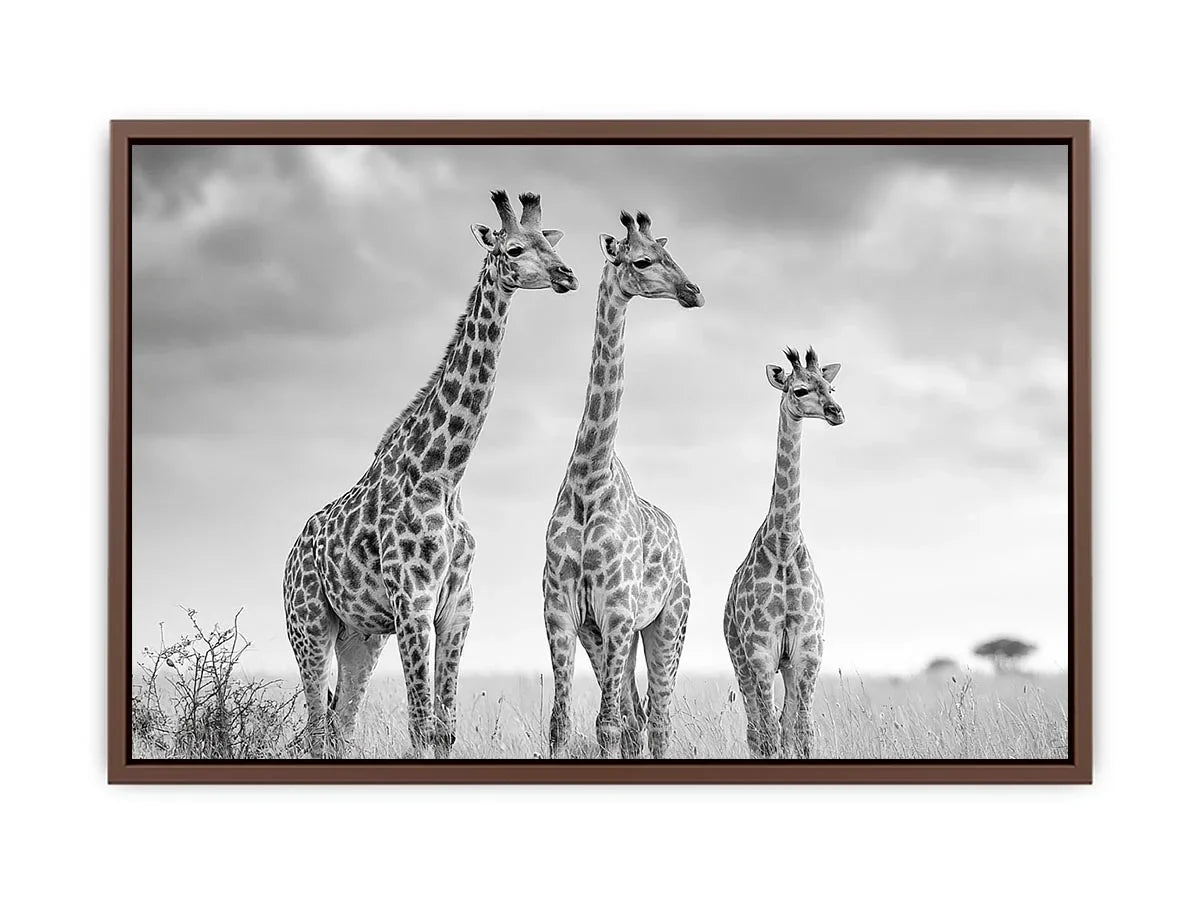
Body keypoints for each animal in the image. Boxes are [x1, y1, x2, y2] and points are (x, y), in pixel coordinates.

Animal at [284, 190, 578, 759]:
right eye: (513, 249)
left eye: (547, 242)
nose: (567, 274)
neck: (444, 475)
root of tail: (289, 556)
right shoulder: (413, 606)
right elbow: (421, 724)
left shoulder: (457, 608)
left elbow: (445, 726)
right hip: (309, 626)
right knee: (315, 727)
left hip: (361, 637)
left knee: (341, 724)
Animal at [542, 210, 704, 760]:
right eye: (642, 261)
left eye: (669, 254)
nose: (693, 291)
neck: (589, 479)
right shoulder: (564, 613)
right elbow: (563, 723)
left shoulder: (616, 611)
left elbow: (607, 724)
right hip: (615, 636)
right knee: (637, 718)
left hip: (667, 624)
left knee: (658, 718)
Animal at [724, 346, 844, 759]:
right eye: (799, 390)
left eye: (829, 386)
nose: (836, 412)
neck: (784, 546)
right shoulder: (760, 652)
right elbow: (770, 736)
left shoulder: (807, 652)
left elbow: (802, 733)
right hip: (740, 660)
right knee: (756, 730)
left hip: (786, 666)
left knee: (783, 724)